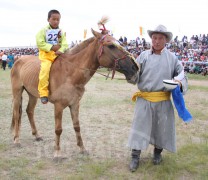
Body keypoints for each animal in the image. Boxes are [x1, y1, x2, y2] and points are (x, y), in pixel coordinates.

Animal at [10, 28, 139, 159]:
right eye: (111, 46)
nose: (134, 67)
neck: (70, 73)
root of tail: (18, 59)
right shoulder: (58, 106)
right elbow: (58, 129)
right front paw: (57, 153)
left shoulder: (75, 104)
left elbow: (77, 126)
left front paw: (82, 148)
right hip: (17, 93)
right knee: (16, 114)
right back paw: (16, 140)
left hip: (32, 95)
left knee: (29, 111)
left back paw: (36, 135)